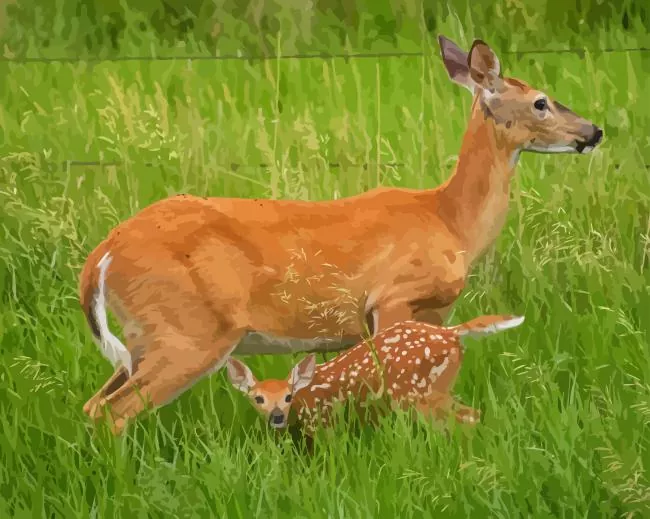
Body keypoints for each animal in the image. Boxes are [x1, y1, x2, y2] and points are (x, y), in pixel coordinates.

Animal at [226, 314, 525, 436]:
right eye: (257, 398)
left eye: (288, 396)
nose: (277, 417)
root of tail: (451, 334)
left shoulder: (323, 422)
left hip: (417, 392)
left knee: (468, 417)